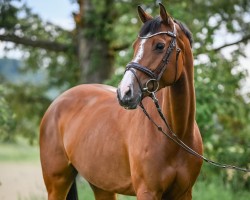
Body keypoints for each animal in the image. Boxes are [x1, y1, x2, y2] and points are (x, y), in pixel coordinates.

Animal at [39, 3, 203, 200]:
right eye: (135, 46)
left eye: (160, 45)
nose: (124, 92)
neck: (176, 135)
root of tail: (57, 102)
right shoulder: (147, 192)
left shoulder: (184, 193)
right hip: (57, 184)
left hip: (101, 185)